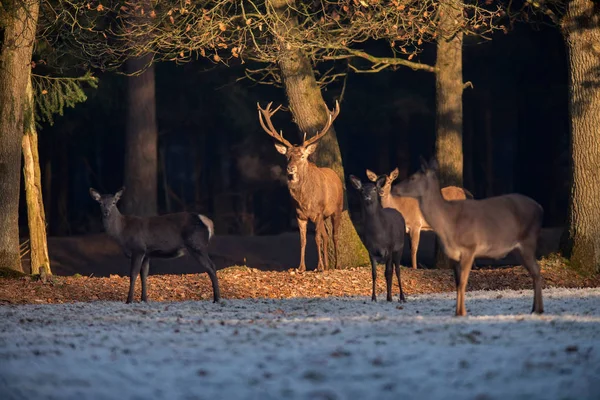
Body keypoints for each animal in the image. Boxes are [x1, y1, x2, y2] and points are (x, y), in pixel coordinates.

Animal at [89, 188, 220, 304]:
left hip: (196, 245)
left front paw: (129, 300)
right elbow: (144, 274)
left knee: (211, 266)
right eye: (100, 203)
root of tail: (208, 222)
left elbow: (133, 274)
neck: (121, 233)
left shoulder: (138, 249)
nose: (106, 212)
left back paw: (217, 299)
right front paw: (144, 299)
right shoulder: (147, 254)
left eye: (114, 202)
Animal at [256, 101, 342, 274]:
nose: (290, 168)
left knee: (334, 235)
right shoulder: (299, 215)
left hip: (337, 208)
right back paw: (327, 265)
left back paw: (336, 265)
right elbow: (303, 240)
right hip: (324, 216)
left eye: (302, 156)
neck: (305, 200)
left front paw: (318, 267)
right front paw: (301, 267)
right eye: (287, 156)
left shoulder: (318, 211)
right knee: (326, 236)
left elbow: (315, 238)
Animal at [350, 173, 406, 302]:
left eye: (374, 189)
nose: (367, 196)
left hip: (400, 247)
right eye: (362, 190)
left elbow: (388, 272)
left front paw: (389, 297)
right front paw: (373, 297)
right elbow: (374, 274)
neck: (378, 234)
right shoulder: (370, 250)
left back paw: (402, 297)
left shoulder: (389, 247)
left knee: (397, 270)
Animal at [394, 158, 544, 318]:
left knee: (536, 270)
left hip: (528, 240)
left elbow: (463, 282)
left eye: (412, 177)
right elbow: (457, 283)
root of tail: (540, 208)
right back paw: (534, 309)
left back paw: (539, 309)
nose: (394, 188)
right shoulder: (453, 255)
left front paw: (462, 312)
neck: (448, 223)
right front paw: (457, 312)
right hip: (517, 249)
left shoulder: (469, 248)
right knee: (534, 272)